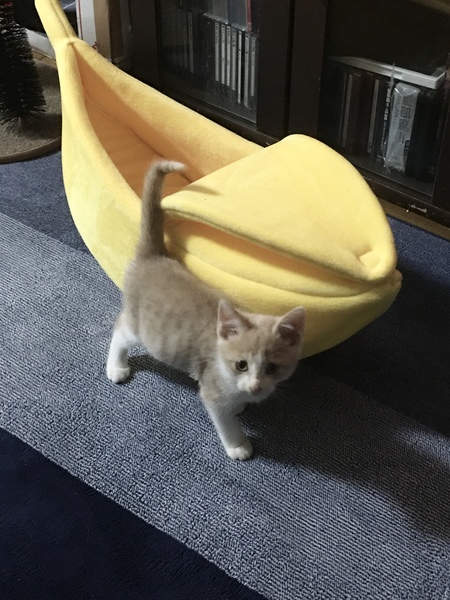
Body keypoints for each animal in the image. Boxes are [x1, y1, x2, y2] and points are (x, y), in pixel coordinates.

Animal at [106, 160, 306, 460]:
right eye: (241, 365)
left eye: (272, 368)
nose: (256, 387)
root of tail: (154, 257)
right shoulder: (213, 392)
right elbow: (225, 421)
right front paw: (238, 445)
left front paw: (242, 404)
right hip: (142, 327)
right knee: (120, 329)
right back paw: (116, 367)